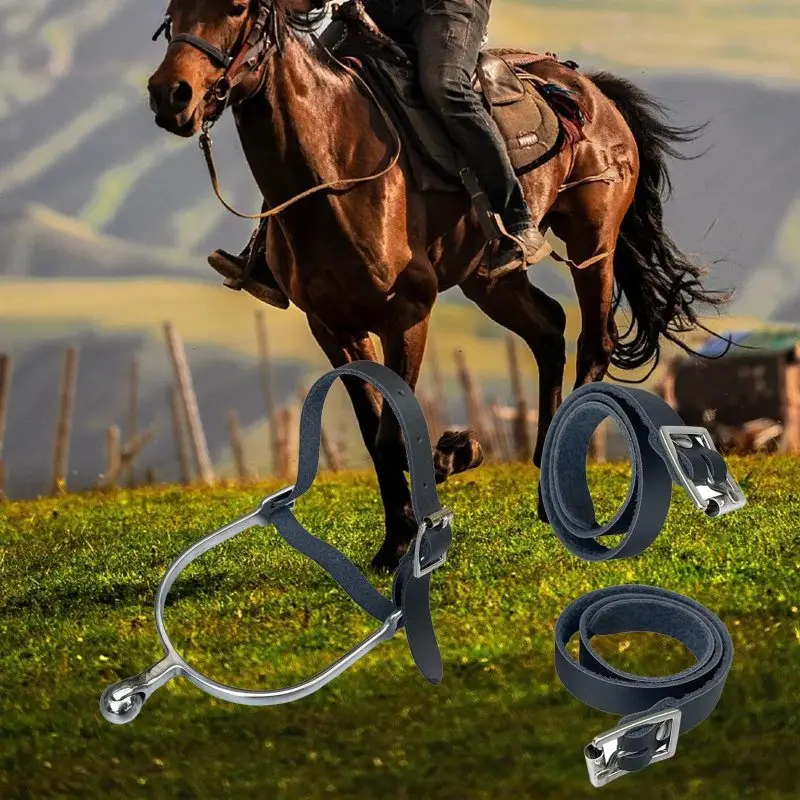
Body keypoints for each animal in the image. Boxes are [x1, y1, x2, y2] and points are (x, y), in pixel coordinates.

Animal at [147, 0, 725, 570]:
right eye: (174, 10)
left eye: (236, 8)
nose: (170, 94)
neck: (335, 166)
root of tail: (591, 91)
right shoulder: (333, 328)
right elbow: (374, 431)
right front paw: (397, 539)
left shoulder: (406, 315)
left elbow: (392, 429)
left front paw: (453, 456)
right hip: (487, 279)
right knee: (547, 330)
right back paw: (544, 481)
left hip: (592, 243)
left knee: (593, 343)